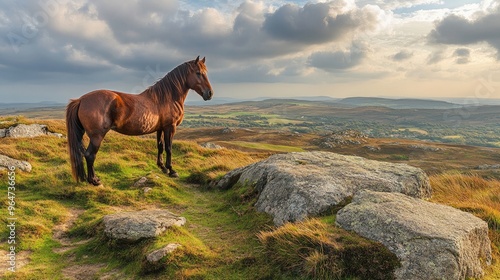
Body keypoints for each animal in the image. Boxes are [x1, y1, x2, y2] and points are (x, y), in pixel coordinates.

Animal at [65, 55, 213, 185]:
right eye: (198, 73)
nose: (210, 93)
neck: (166, 98)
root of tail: (80, 100)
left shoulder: (160, 128)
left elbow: (160, 146)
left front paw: (163, 168)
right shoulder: (170, 127)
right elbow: (169, 148)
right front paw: (172, 170)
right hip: (97, 136)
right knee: (90, 155)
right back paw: (94, 180)